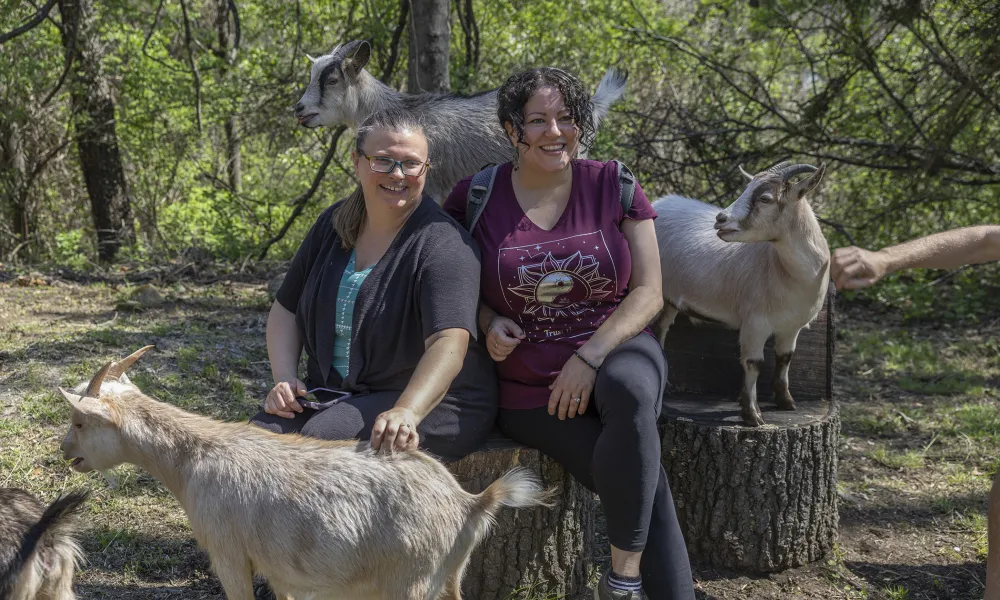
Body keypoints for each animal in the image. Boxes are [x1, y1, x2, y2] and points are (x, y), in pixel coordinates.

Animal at [58, 346, 552, 600]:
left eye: (79, 421)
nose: (66, 452)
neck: (194, 459)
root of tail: (470, 502)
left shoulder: (228, 553)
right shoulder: (281, 570)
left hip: (410, 581)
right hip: (447, 577)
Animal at [648, 163, 828, 426]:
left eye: (765, 198)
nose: (721, 219)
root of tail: (658, 203)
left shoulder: (792, 326)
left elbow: (785, 357)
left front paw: (786, 402)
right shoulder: (755, 323)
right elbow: (754, 364)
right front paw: (752, 414)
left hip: (670, 299)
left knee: (661, 328)